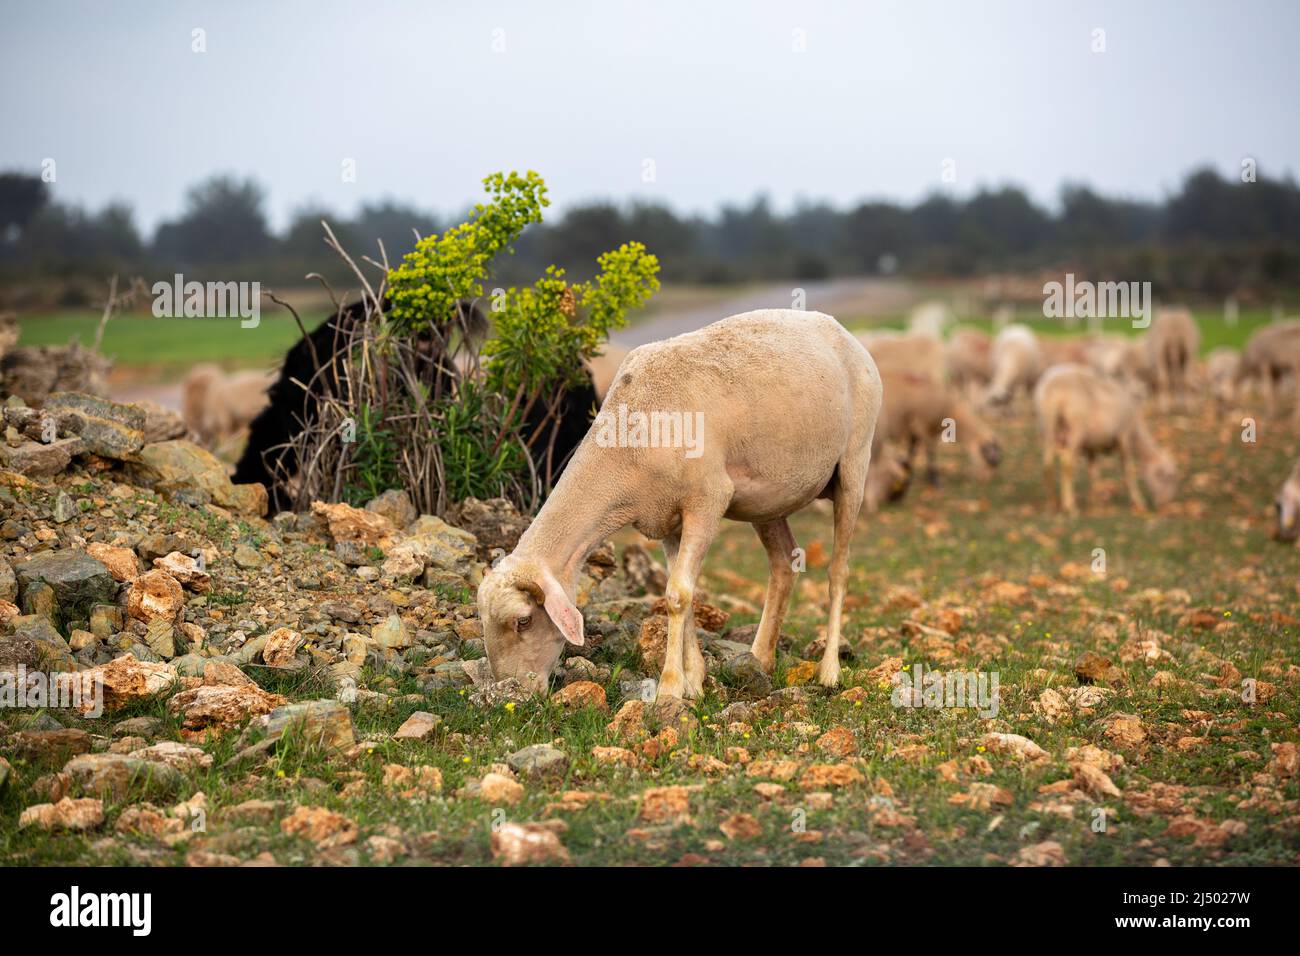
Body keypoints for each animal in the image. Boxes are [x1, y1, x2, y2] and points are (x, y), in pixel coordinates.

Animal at [477, 309, 883, 698]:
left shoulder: (708, 498)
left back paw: (829, 671)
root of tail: (842, 331)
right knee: (784, 563)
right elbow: (680, 594)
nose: (513, 690)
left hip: (854, 465)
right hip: (768, 498)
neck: (625, 447)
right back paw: (760, 659)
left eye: (523, 621)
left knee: (839, 572)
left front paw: (670, 687)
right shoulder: (666, 520)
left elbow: (677, 595)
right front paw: (695, 682)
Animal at [1034, 363, 1178, 515]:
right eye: (1169, 477)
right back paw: (1070, 506)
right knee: (1067, 463)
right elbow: (1128, 470)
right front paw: (1138, 501)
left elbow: (1093, 472)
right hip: (1075, 427)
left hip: (1047, 427)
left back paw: (1052, 503)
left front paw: (1095, 502)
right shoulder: (1124, 436)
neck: (1136, 431)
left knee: (1047, 464)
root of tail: (1052, 389)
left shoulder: (1091, 448)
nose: (1165, 504)